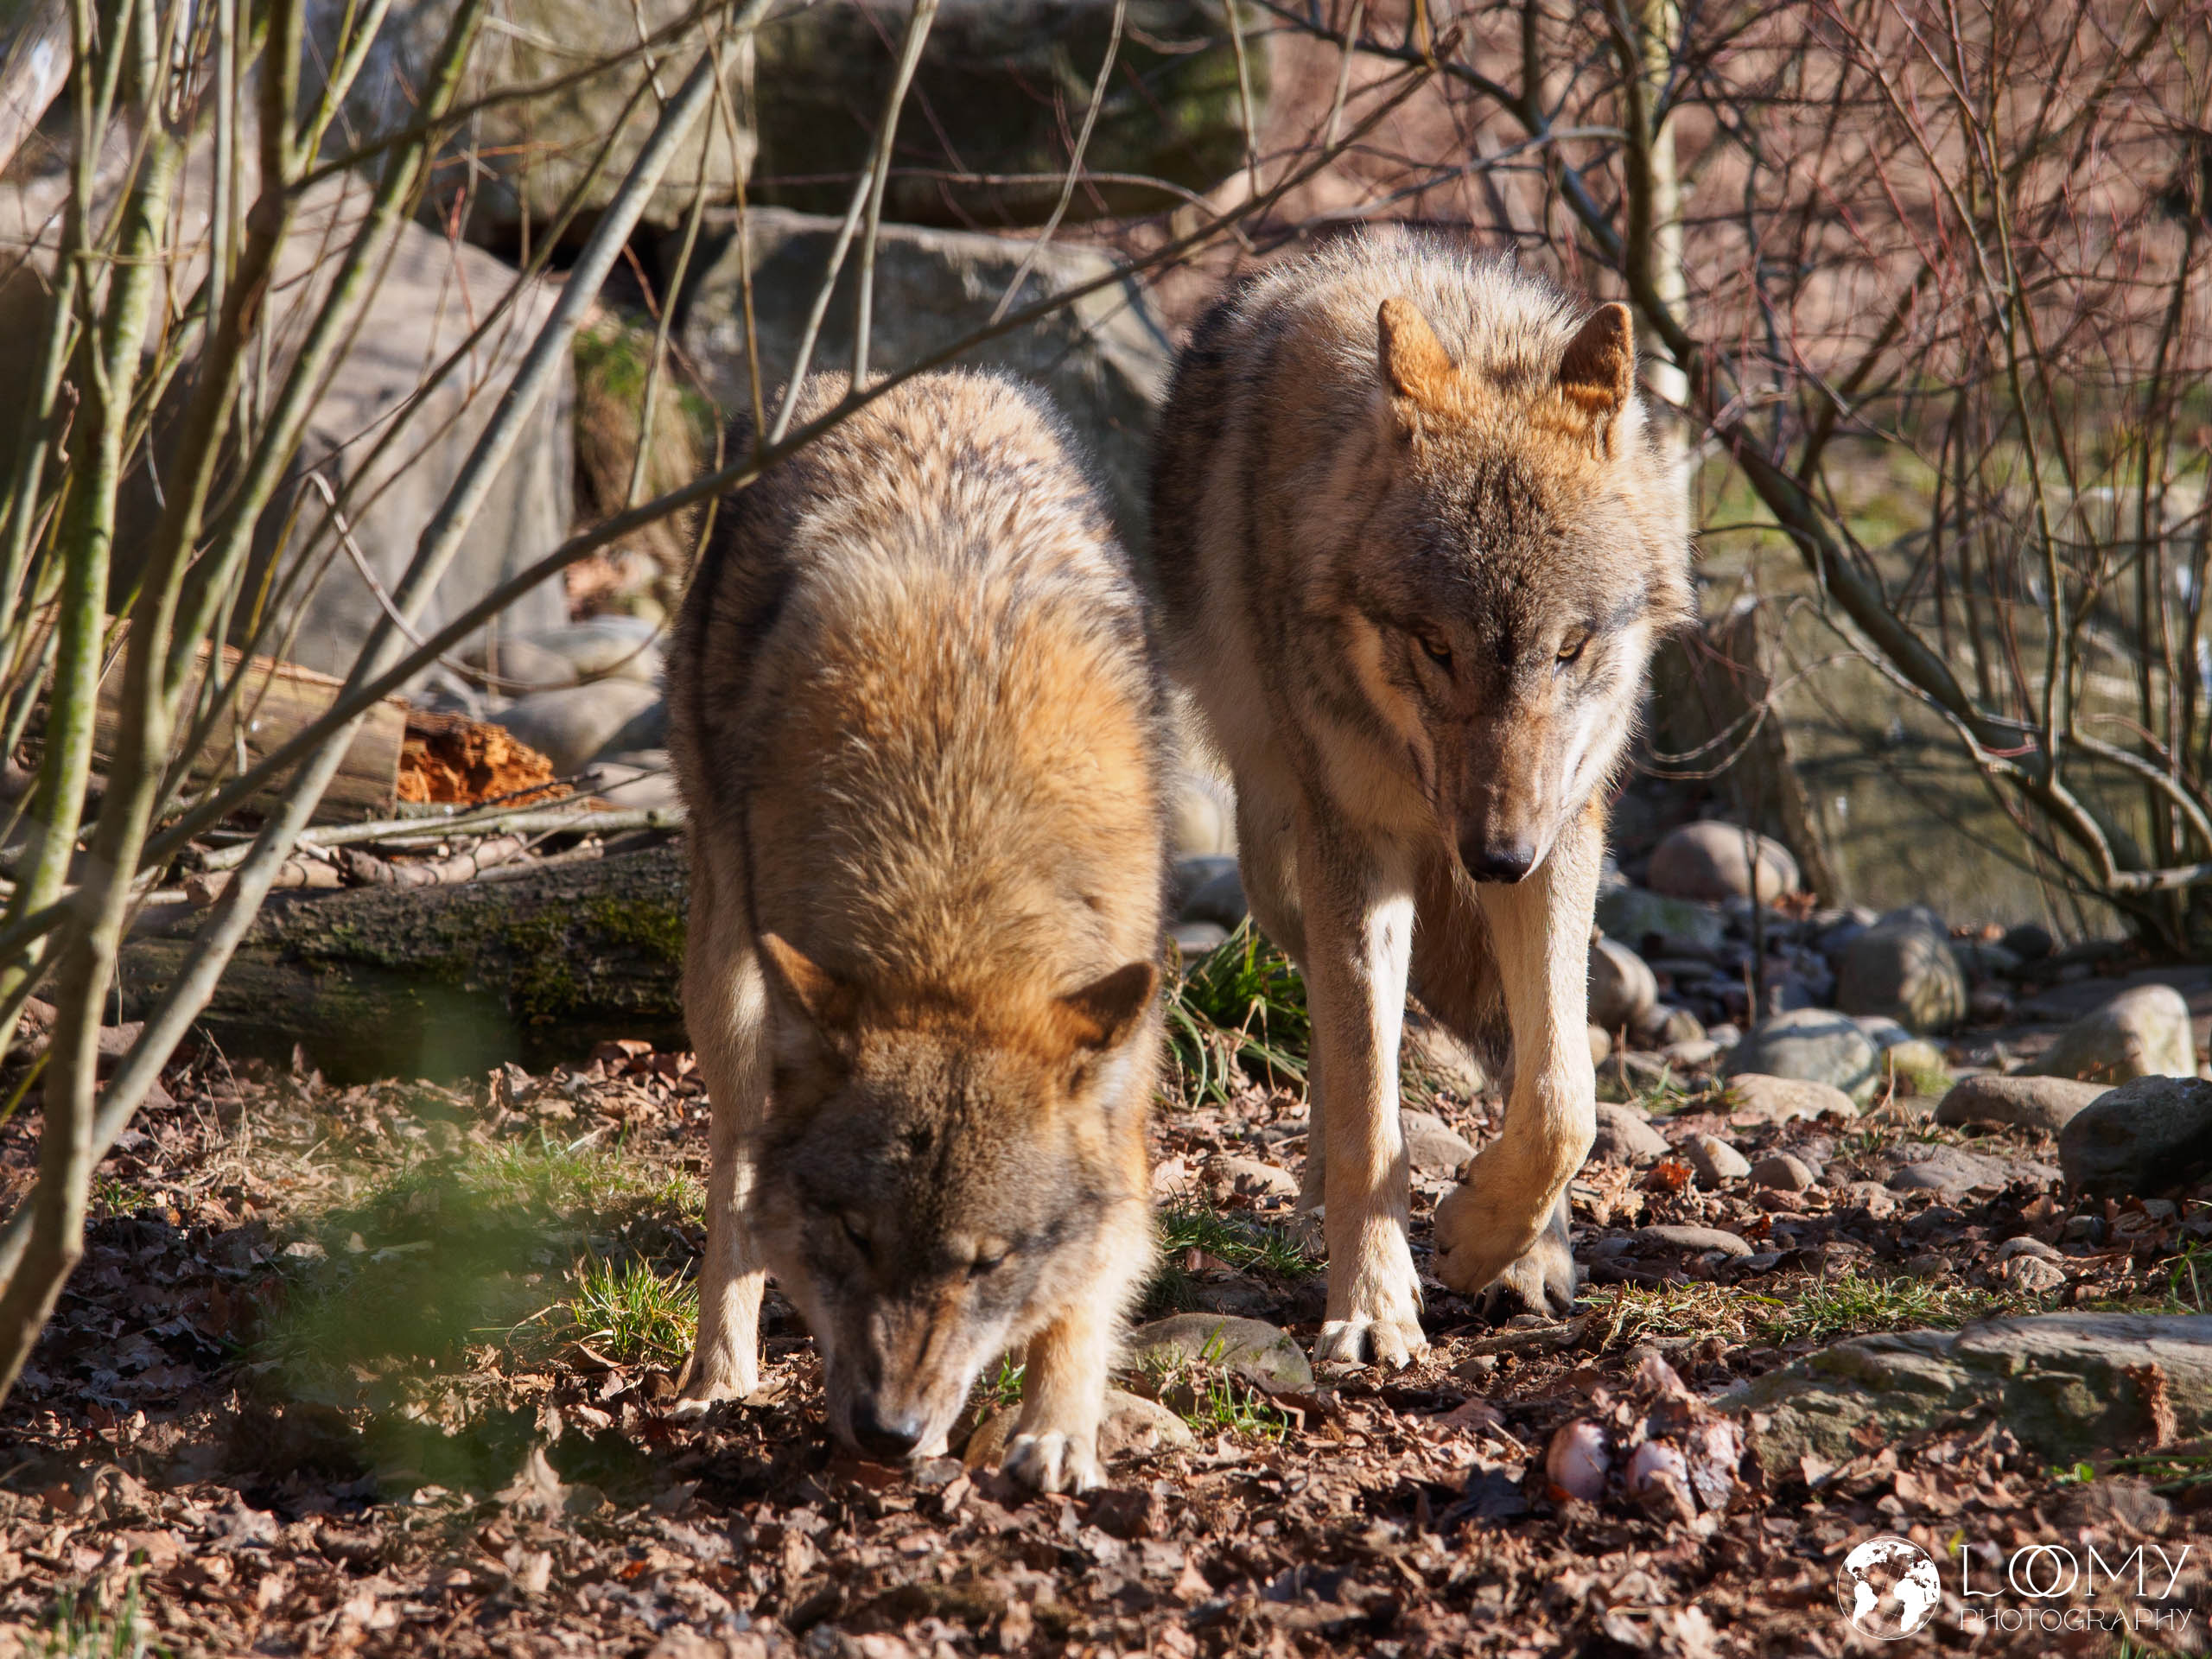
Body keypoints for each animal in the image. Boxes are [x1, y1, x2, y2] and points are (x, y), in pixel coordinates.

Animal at [667, 370, 1169, 1492]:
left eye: (985, 1262)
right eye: (856, 1235)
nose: (888, 1433)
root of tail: (921, 380)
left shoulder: (1123, 1067)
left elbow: (1098, 1271)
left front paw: (1056, 1427)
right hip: (728, 971)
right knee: (733, 1168)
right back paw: (719, 1373)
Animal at [1149, 232, 1693, 1366]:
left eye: (1567, 649)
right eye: (1435, 647)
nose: (1494, 858)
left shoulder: (1564, 832)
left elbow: (1562, 1097)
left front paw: (1494, 1240)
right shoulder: (1359, 849)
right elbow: (1370, 1111)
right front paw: (1372, 1302)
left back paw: (1532, 1254)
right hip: (1281, 866)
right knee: (1343, 1052)